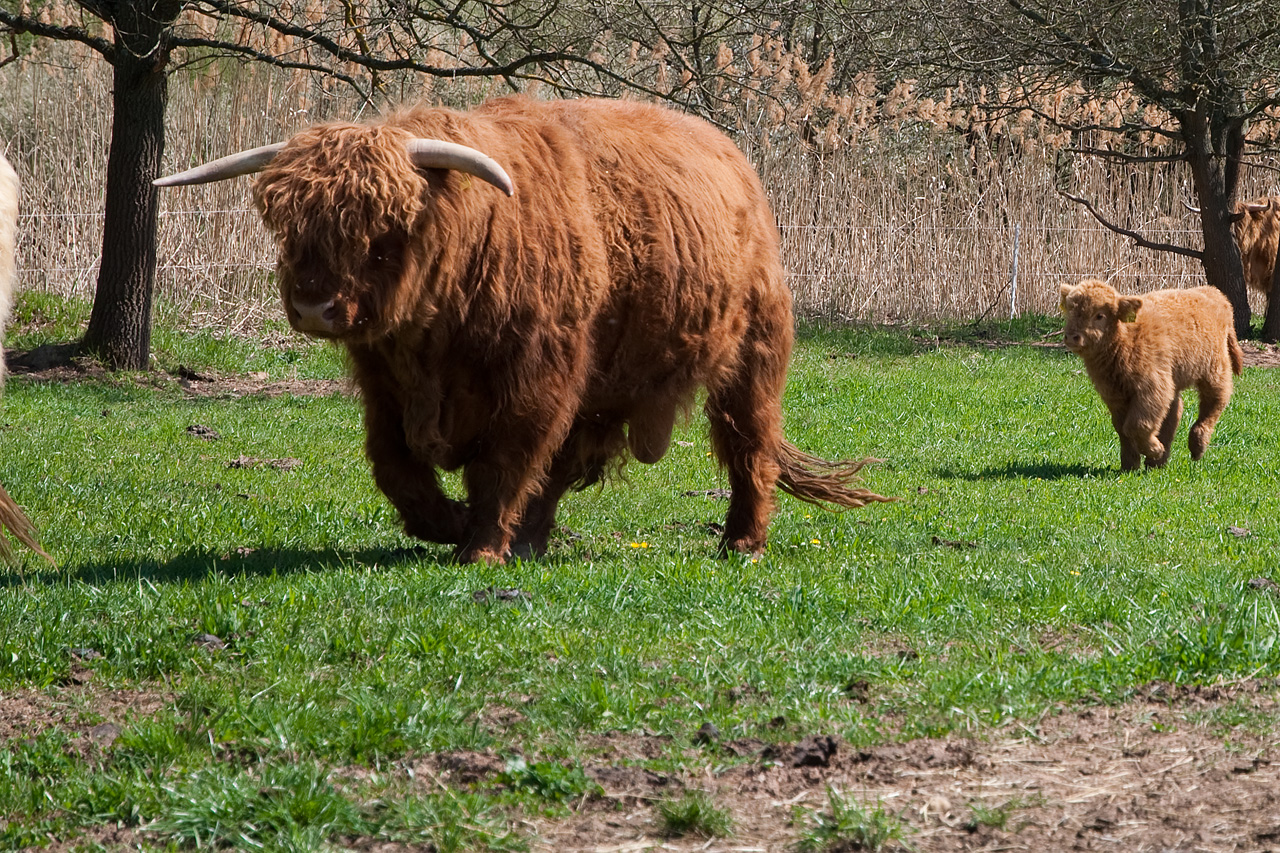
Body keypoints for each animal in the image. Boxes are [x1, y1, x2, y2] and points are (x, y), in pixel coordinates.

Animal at [156, 96, 893, 564]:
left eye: (383, 231)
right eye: (286, 224)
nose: (313, 306)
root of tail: (734, 160)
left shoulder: (538, 368)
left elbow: (506, 458)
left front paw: (479, 547)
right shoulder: (384, 381)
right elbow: (395, 464)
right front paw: (446, 524)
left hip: (752, 353)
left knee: (748, 445)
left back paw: (742, 543)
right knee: (569, 461)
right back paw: (533, 540)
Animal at [1059, 278, 1243, 471]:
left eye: (1099, 315)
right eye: (1070, 311)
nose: (1072, 336)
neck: (1126, 338)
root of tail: (1214, 293)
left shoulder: (1151, 388)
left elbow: (1136, 425)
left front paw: (1155, 449)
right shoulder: (1114, 393)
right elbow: (1121, 428)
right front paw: (1130, 465)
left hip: (1215, 370)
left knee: (1214, 403)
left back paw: (1196, 447)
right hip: (1173, 381)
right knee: (1175, 411)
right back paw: (1158, 463)